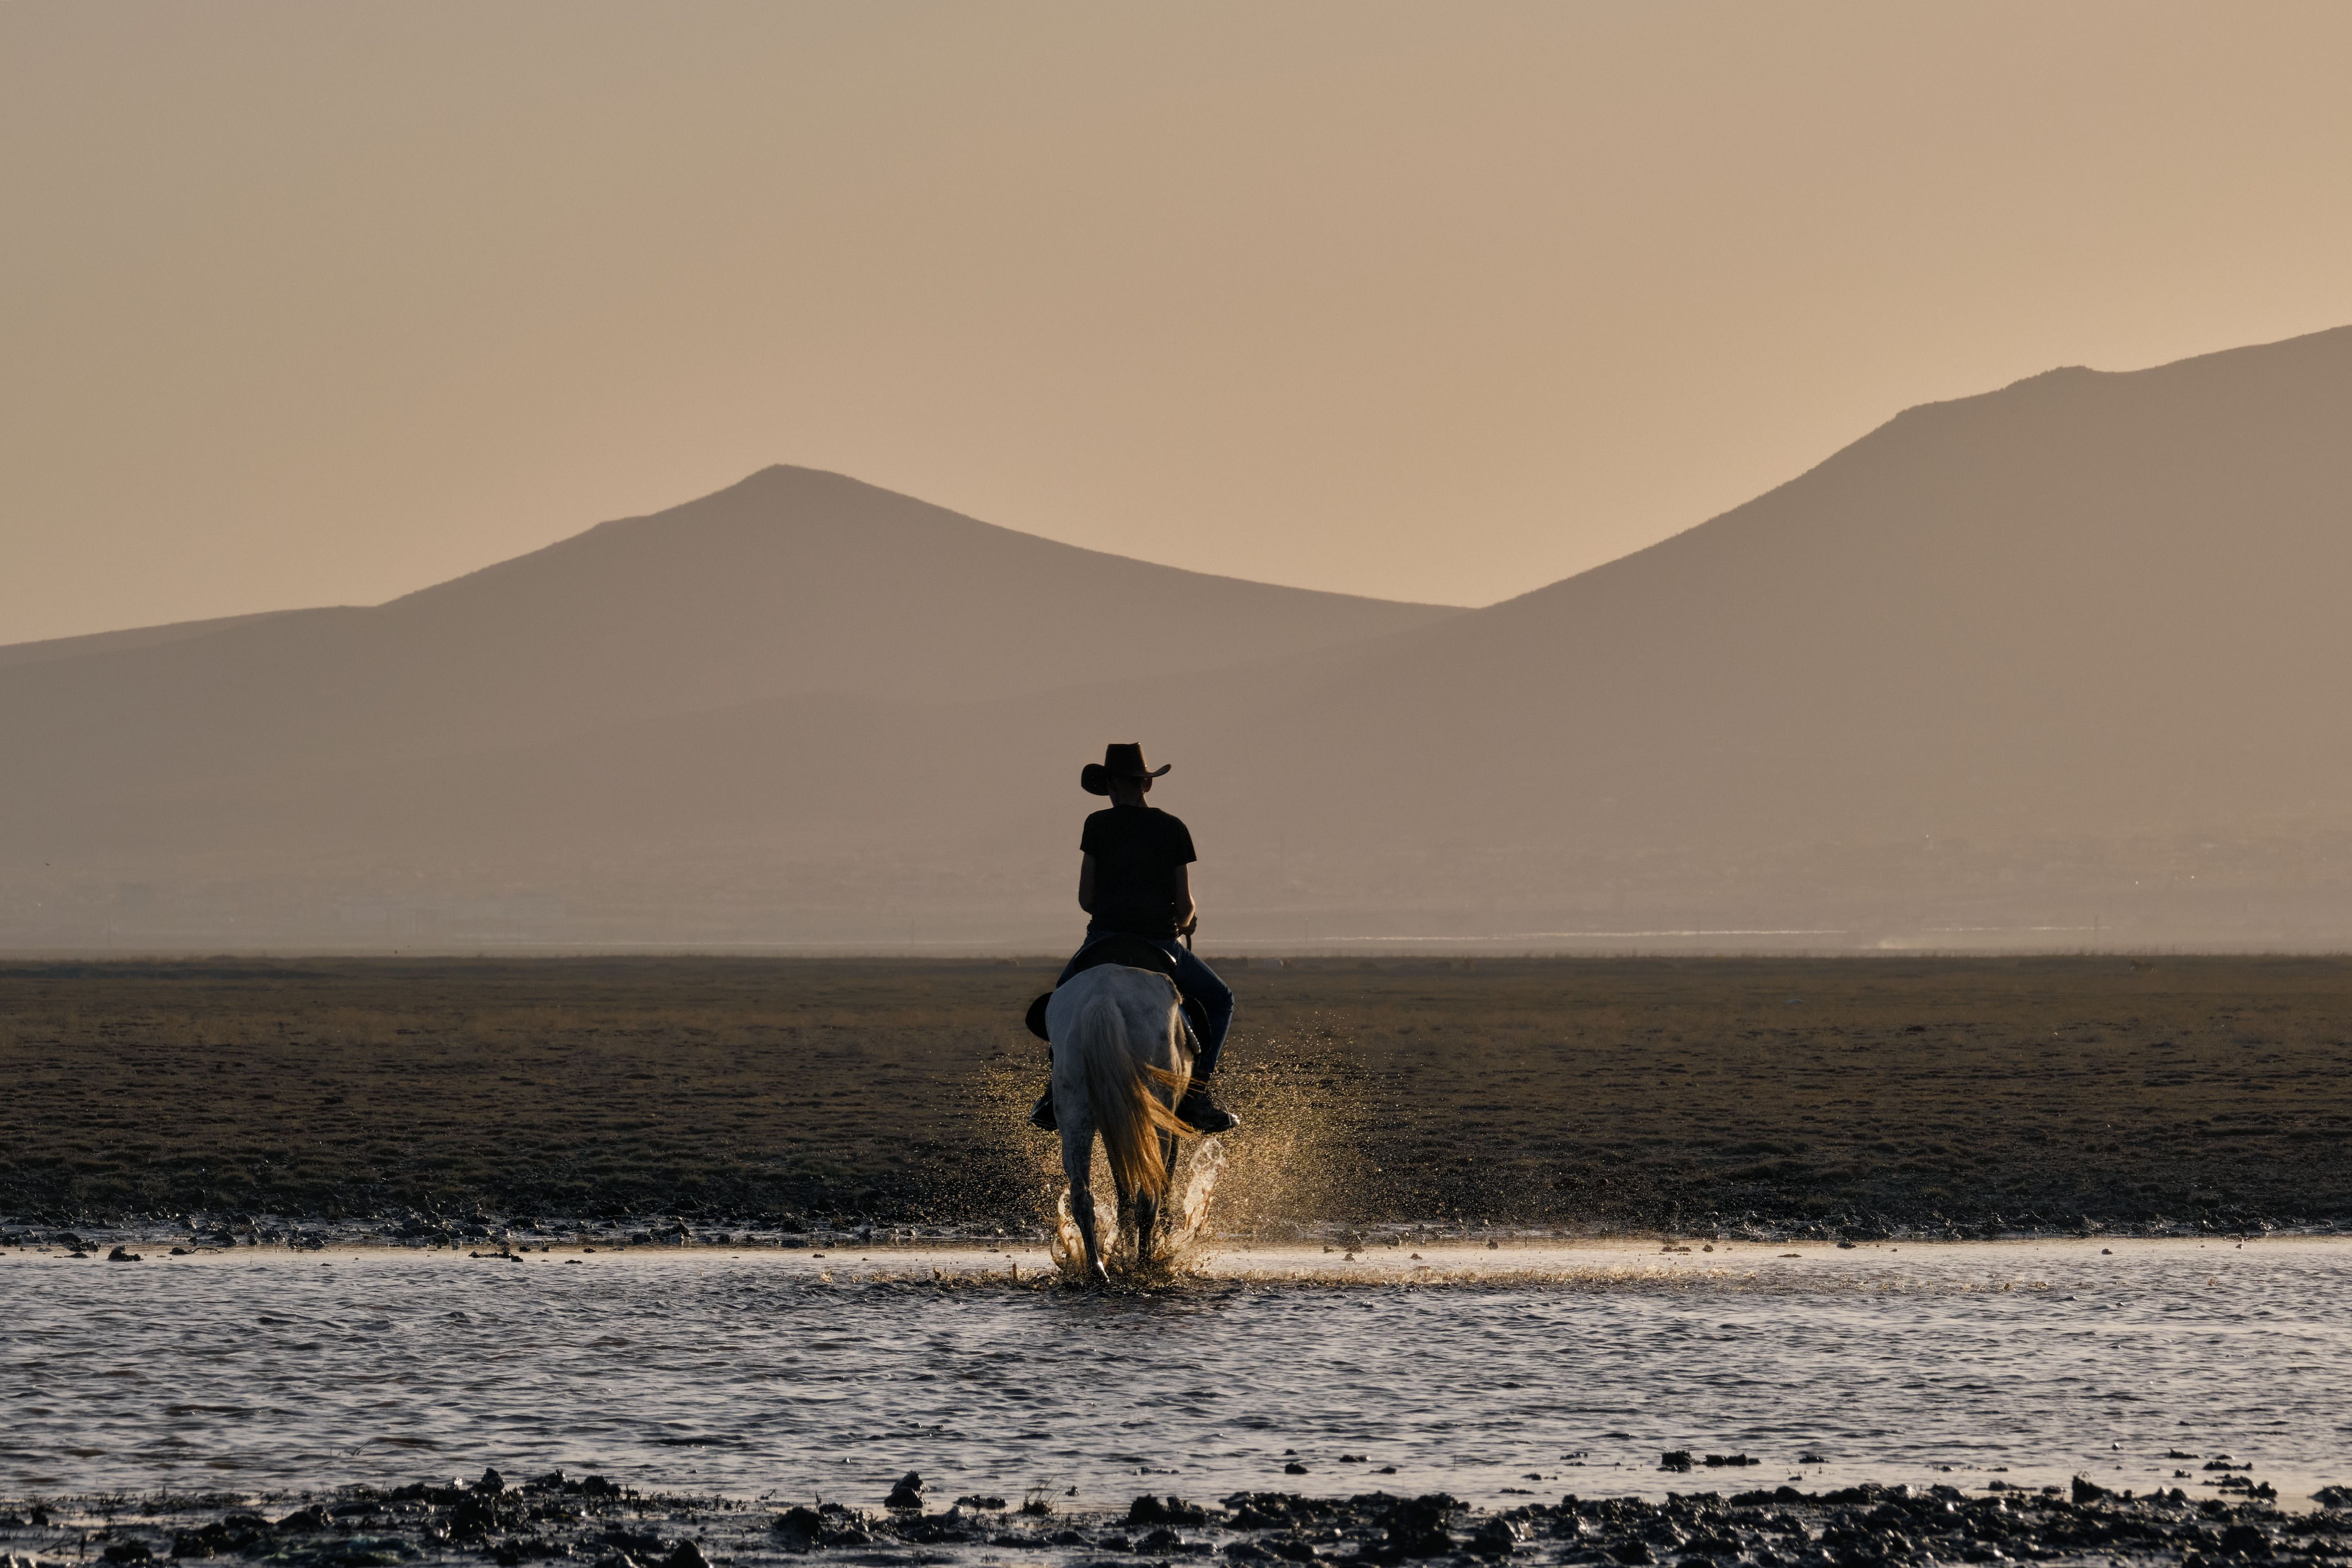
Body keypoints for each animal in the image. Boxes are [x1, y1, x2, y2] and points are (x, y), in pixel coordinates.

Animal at [1044, 964, 1195, 1278]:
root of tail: (1102, 999)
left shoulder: (1115, 1127)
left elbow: (1123, 1190)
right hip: (1157, 1119)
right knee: (1149, 1197)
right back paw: (1144, 1265)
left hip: (1075, 1117)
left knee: (1082, 1197)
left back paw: (1098, 1269)